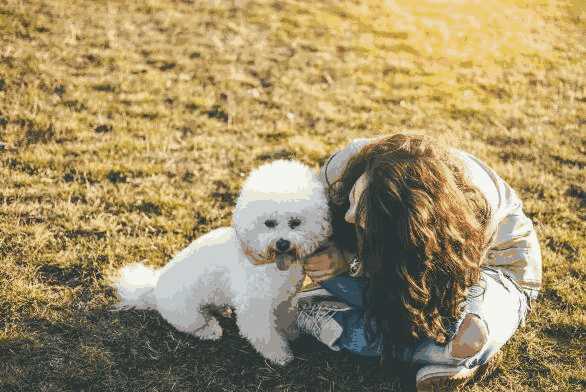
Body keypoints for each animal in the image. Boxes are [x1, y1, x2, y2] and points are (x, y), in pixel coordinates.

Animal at [109, 158, 328, 364]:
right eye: (269, 223)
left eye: (295, 222)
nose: (282, 243)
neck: (269, 262)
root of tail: (153, 288)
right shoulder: (254, 305)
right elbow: (264, 335)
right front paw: (280, 355)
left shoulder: (284, 298)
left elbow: (285, 318)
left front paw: (291, 334)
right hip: (187, 313)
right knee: (196, 325)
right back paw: (212, 330)